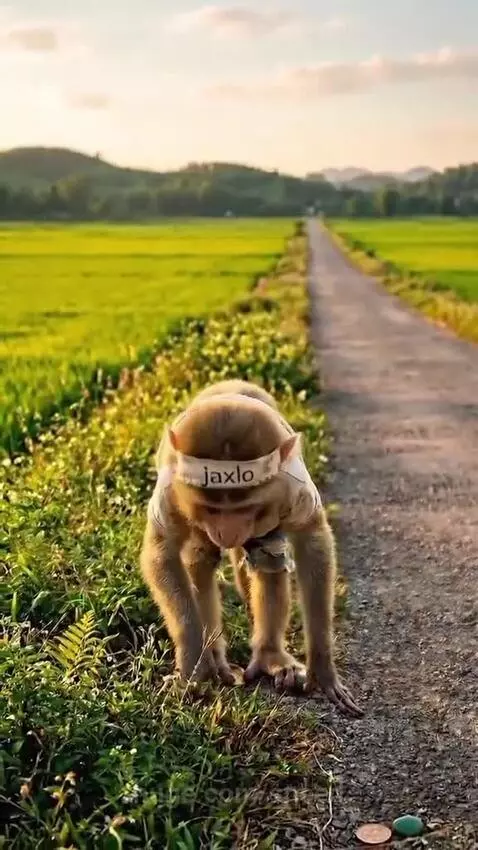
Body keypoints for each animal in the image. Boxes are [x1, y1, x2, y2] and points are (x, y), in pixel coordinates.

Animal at [140, 379, 362, 716]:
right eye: (212, 508)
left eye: (244, 508)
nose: (226, 532)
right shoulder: (170, 493)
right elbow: (161, 555)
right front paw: (192, 666)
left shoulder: (293, 489)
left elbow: (312, 545)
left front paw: (322, 670)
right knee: (199, 560)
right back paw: (214, 658)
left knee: (269, 559)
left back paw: (271, 657)